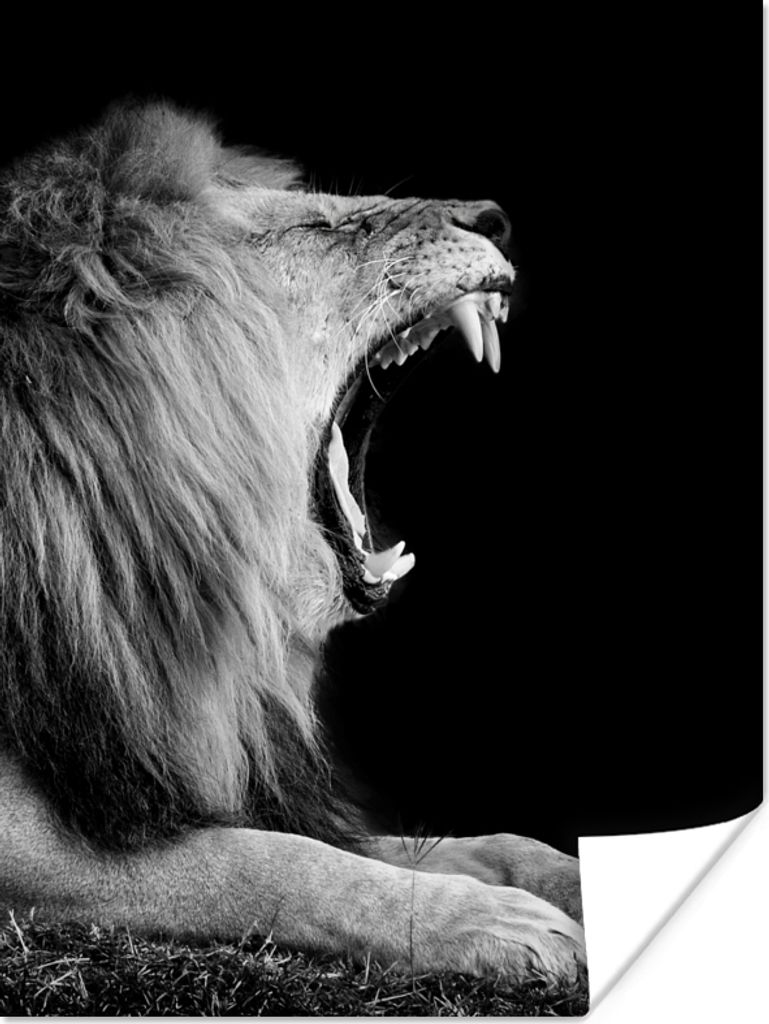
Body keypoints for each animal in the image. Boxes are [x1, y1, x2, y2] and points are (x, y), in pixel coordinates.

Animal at [0, 100, 585, 988]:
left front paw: (556, 873)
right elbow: (261, 861)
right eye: (316, 226)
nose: (495, 219)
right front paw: (489, 922)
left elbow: (409, 841)